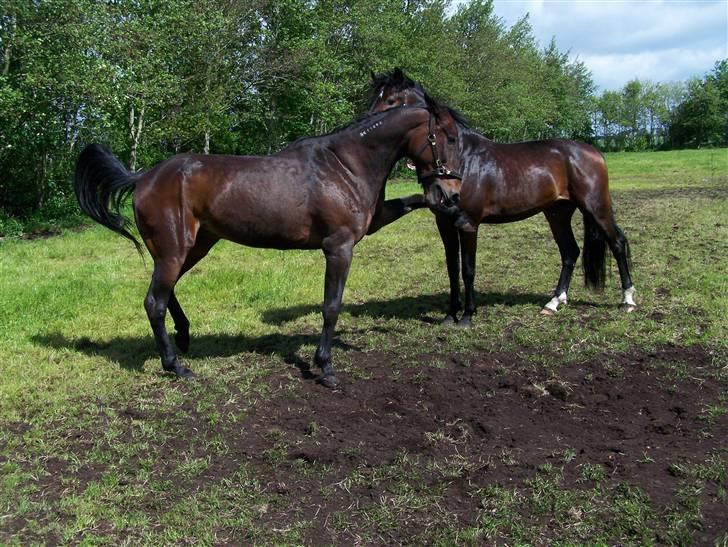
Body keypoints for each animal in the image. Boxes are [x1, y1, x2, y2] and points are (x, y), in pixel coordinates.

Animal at [75, 100, 460, 388]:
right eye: (450, 137)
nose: (452, 191)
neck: (345, 165)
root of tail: (143, 177)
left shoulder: (374, 220)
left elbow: (412, 201)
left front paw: (446, 207)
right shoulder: (339, 247)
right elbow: (331, 306)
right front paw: (325, 367)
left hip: (194, 247)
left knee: (166, 293)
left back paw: (183, 337)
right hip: (174, 251)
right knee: (154, 301)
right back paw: (176, 366)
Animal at [372, 68, 636, 326]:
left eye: (392, 101)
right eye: (376, 98)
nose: (370, 126)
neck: (463, 159)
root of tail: (593, 151)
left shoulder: (468, 224)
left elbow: (468, 269)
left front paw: (467, 317)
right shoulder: (444, 223)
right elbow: (452, 268)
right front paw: (450, 315)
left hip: (596, 207)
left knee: (617, 243)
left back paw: (628, 301)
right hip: (558, 213)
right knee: (570, 252)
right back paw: (554, 303)